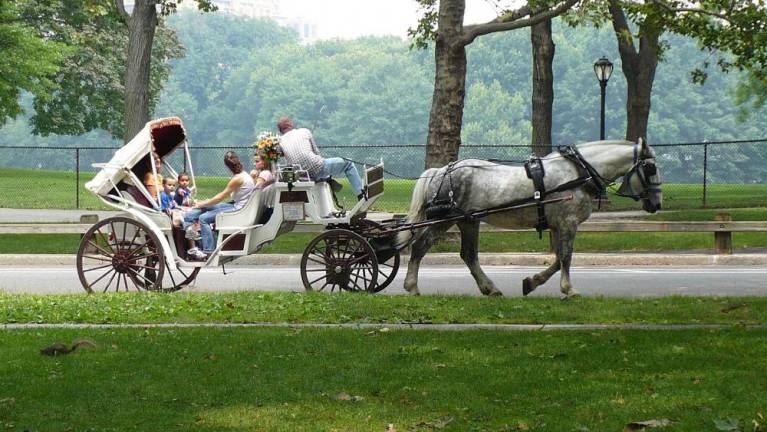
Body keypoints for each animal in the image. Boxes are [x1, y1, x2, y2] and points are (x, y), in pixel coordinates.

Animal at [400, 139, 664, 296]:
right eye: (650, 168)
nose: (657, 203)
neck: (579, 172)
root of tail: (442, 170)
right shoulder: (568, 223)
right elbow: (566, 257)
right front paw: (569, 290)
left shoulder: (558, 225)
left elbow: (558, 259)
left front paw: (532, 281)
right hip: (446, 219)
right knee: (420, 246)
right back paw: (412, 287)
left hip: (468, 220)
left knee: (469, 255)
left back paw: (490, 288)